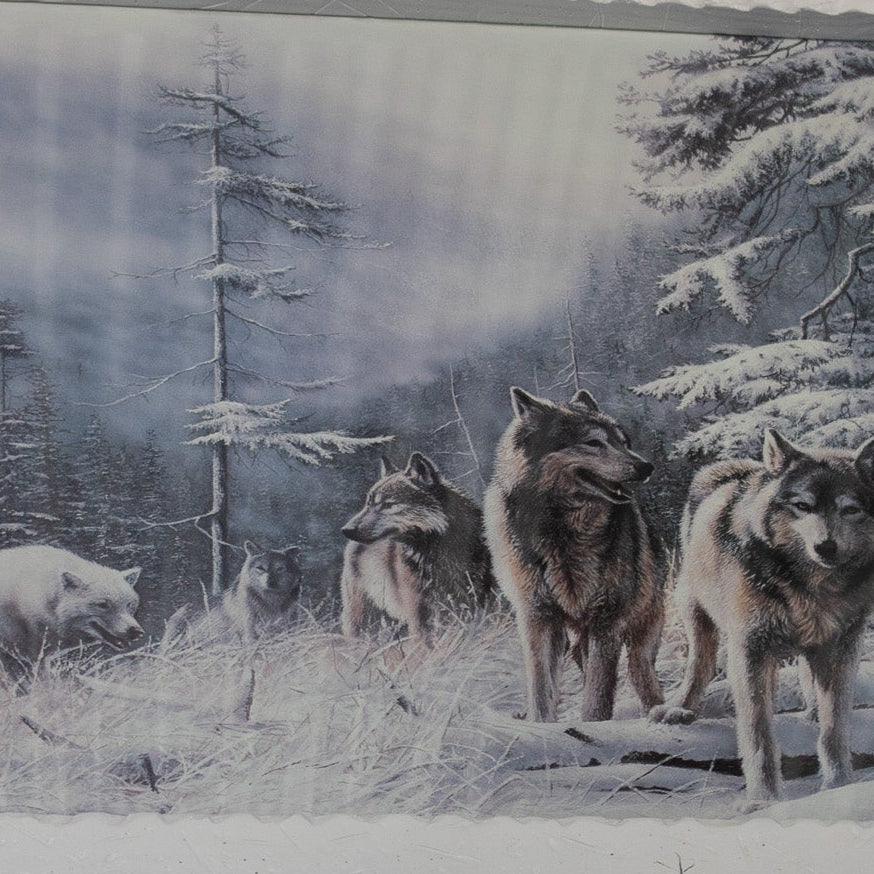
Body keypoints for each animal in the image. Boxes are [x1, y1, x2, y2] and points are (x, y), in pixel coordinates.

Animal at [164, 540, 302, 646]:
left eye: (280, 569)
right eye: (260, 568)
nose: (270, 582)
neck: (271, 603)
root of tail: (176, 613)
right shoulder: (249, 635)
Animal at [483, 387, 664, 723]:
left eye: (624, 442)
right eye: (594, 442)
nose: (646, 467)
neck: (562, 530)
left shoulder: (607, 619)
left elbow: (597, 695)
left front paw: (595, 725)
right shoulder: (537, 618)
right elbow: (541, 690)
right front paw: (540, 727)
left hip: (640, 633)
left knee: (641, 672)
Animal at [650, 429, 874, 807]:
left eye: (850, 509)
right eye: (803, 506)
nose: (826, 547)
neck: (811, 588)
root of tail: (740, 466)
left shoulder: (841, 647)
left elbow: (834, 727)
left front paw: (839, 784)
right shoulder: (749, 649)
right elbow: (758, 734)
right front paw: (764, 799)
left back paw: (813, 708)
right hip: (694, 608)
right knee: (700, 663)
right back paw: (678, 709)